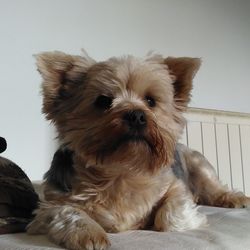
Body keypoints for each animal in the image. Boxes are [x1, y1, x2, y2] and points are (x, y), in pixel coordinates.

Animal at [27, 51, 250, 250]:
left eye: (151, 101)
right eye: (103, 101)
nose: (136, 115)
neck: (122, 170)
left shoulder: (175, 186)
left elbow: (170, 217)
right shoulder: (51, 202)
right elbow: (67, 212)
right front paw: (88, 234)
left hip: (198, 164)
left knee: (214, 188)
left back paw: (235, 198)